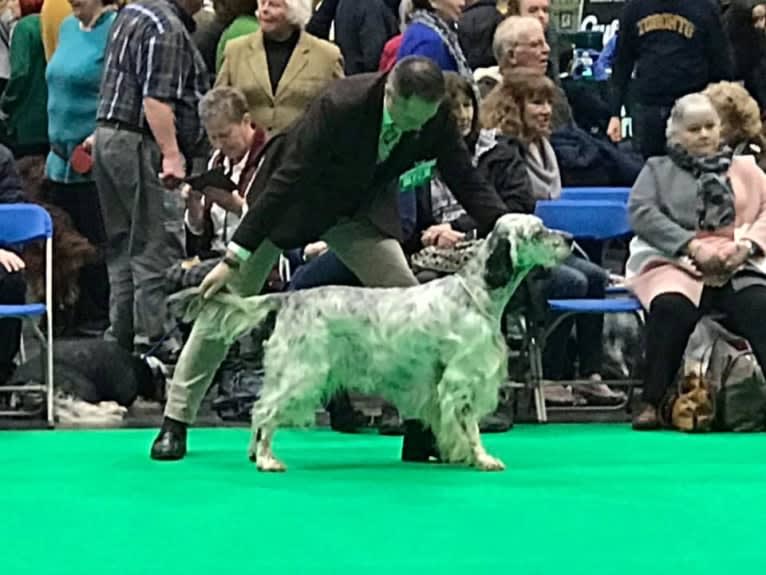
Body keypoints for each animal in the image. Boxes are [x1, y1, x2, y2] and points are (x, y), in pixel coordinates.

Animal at [174, 216, 568, 472]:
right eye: (538, 232)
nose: (569, 239)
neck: (474, 294)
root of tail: (289, 298)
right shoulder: (462, 378)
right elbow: (469, 427)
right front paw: (483, 458)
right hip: (303, 371)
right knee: (267, 411)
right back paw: (268, 460)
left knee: (259, 409)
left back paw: (256, 454)